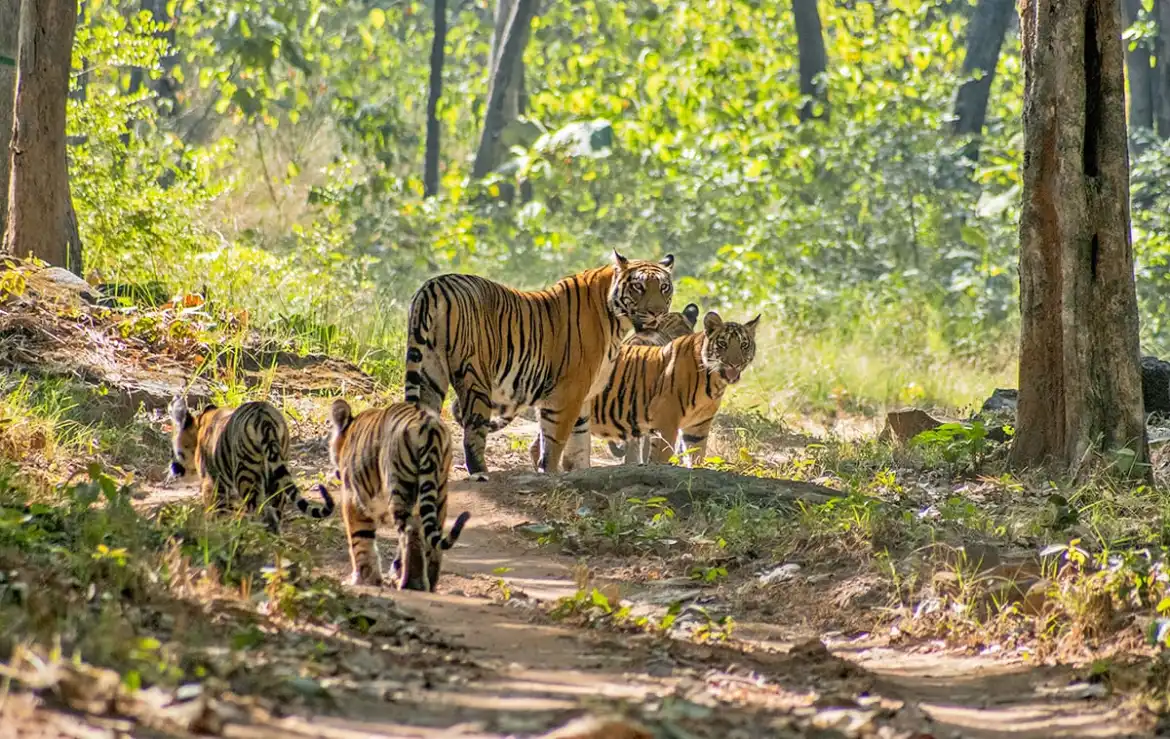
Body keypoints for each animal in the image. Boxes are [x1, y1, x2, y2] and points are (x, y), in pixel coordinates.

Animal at [167, 398, 335, 533]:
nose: (173, 467)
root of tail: (264, 418)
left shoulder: (212, 482)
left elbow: (215, 510)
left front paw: (214, 529)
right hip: (276, 472)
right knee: (275, 508)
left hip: (245, 474)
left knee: (257, 509)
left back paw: (254, 532)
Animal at [325, 398, 471, 591]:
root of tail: (429, 426)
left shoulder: (353, 499)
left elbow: (360, 540)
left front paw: (363, 579)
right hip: (439, 491)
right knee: (431, 536)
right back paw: (429, 583)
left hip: (399, 487)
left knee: (410, 531)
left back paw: (412, 584)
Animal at [403, 250, 676, 480]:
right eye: (638, 286)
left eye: (664, 287)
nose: (657, 313)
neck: (617, 322)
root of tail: (434, 285)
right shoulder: (567, 393)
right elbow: (554, 442)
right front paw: (551, 474)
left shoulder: (584, 396)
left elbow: (579, 443)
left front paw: (580, 473)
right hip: (475, 377)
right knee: (473, 431)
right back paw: (480, 473)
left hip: (430, 372)